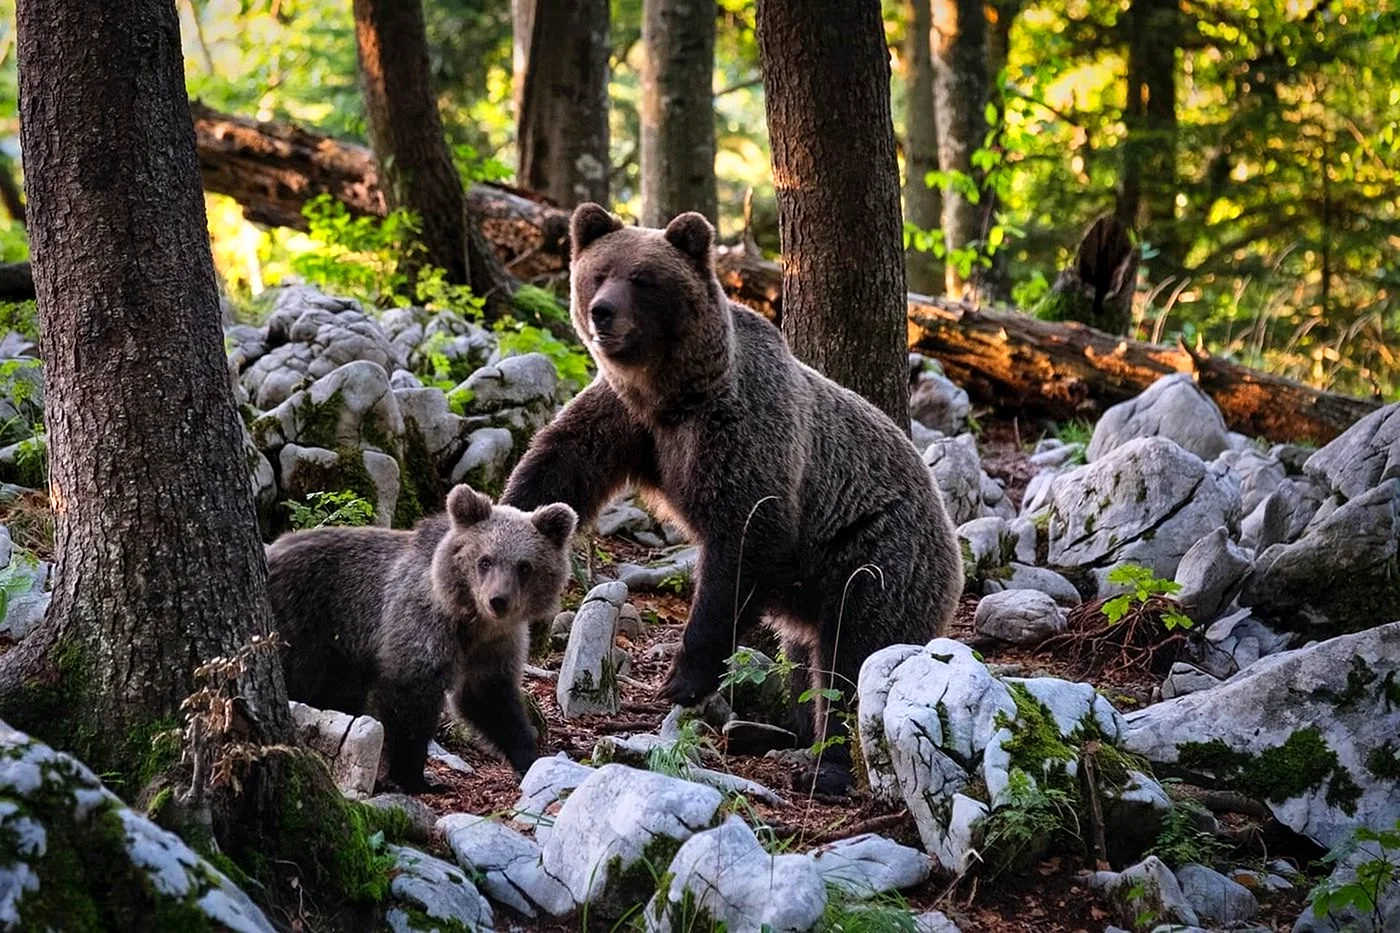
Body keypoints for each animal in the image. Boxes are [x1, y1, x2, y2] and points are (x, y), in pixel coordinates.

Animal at [265, 483, 577, 792]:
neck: (471, 621)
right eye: (485, 560)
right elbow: (411, 699)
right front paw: (415, 777)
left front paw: (529, 758)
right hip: (303, 623)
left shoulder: (495, 646)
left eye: (524, 566)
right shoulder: (420, 623)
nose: (498, 600)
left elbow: (491, 700)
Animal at [500, 203, 963, 793]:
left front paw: (683, 679)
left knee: (853, 658)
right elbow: (559, 465)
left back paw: (826, 765)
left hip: (874, 558)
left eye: (643, 279)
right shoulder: (627, 420)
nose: (603, 312)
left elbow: (743, 542)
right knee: (804, 661)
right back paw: (776, 732)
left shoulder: (742, 433)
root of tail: (948, 531)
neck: (672, 395)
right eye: (598, 273)